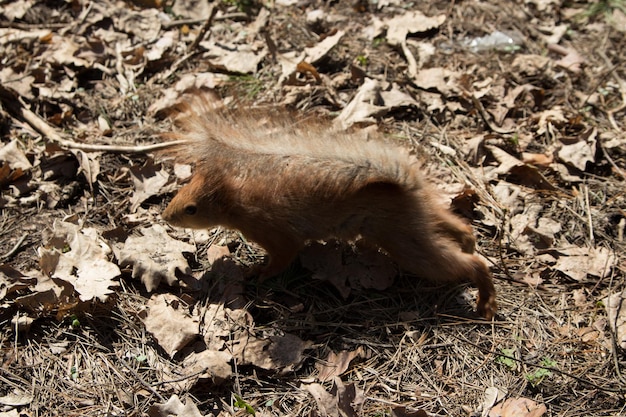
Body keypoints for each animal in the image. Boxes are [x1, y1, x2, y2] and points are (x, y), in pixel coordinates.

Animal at [161, 96, 498, 318]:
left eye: (191, 208)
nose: (165, 216)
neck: (239, 204)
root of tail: (403, 184)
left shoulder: (275, 234)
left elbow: (282, 259)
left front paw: (258, 272)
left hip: (403, 239)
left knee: (469, 264)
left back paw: (485, 301)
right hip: (420, 214)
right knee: (457, 225)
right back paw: (469, 242)